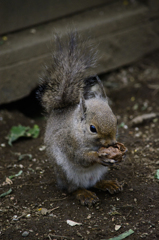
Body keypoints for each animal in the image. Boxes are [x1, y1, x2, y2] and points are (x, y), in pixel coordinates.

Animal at [37, 31, 123, 205]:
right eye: (92, 128)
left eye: (116, 120)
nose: (111, 143)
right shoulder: (69, 143)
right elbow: (80, 158)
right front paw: (97, 156)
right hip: (65, 173)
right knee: (72, 189)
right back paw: (84, 194)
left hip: (99, 173)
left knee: (95, 183)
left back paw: (107, 183)